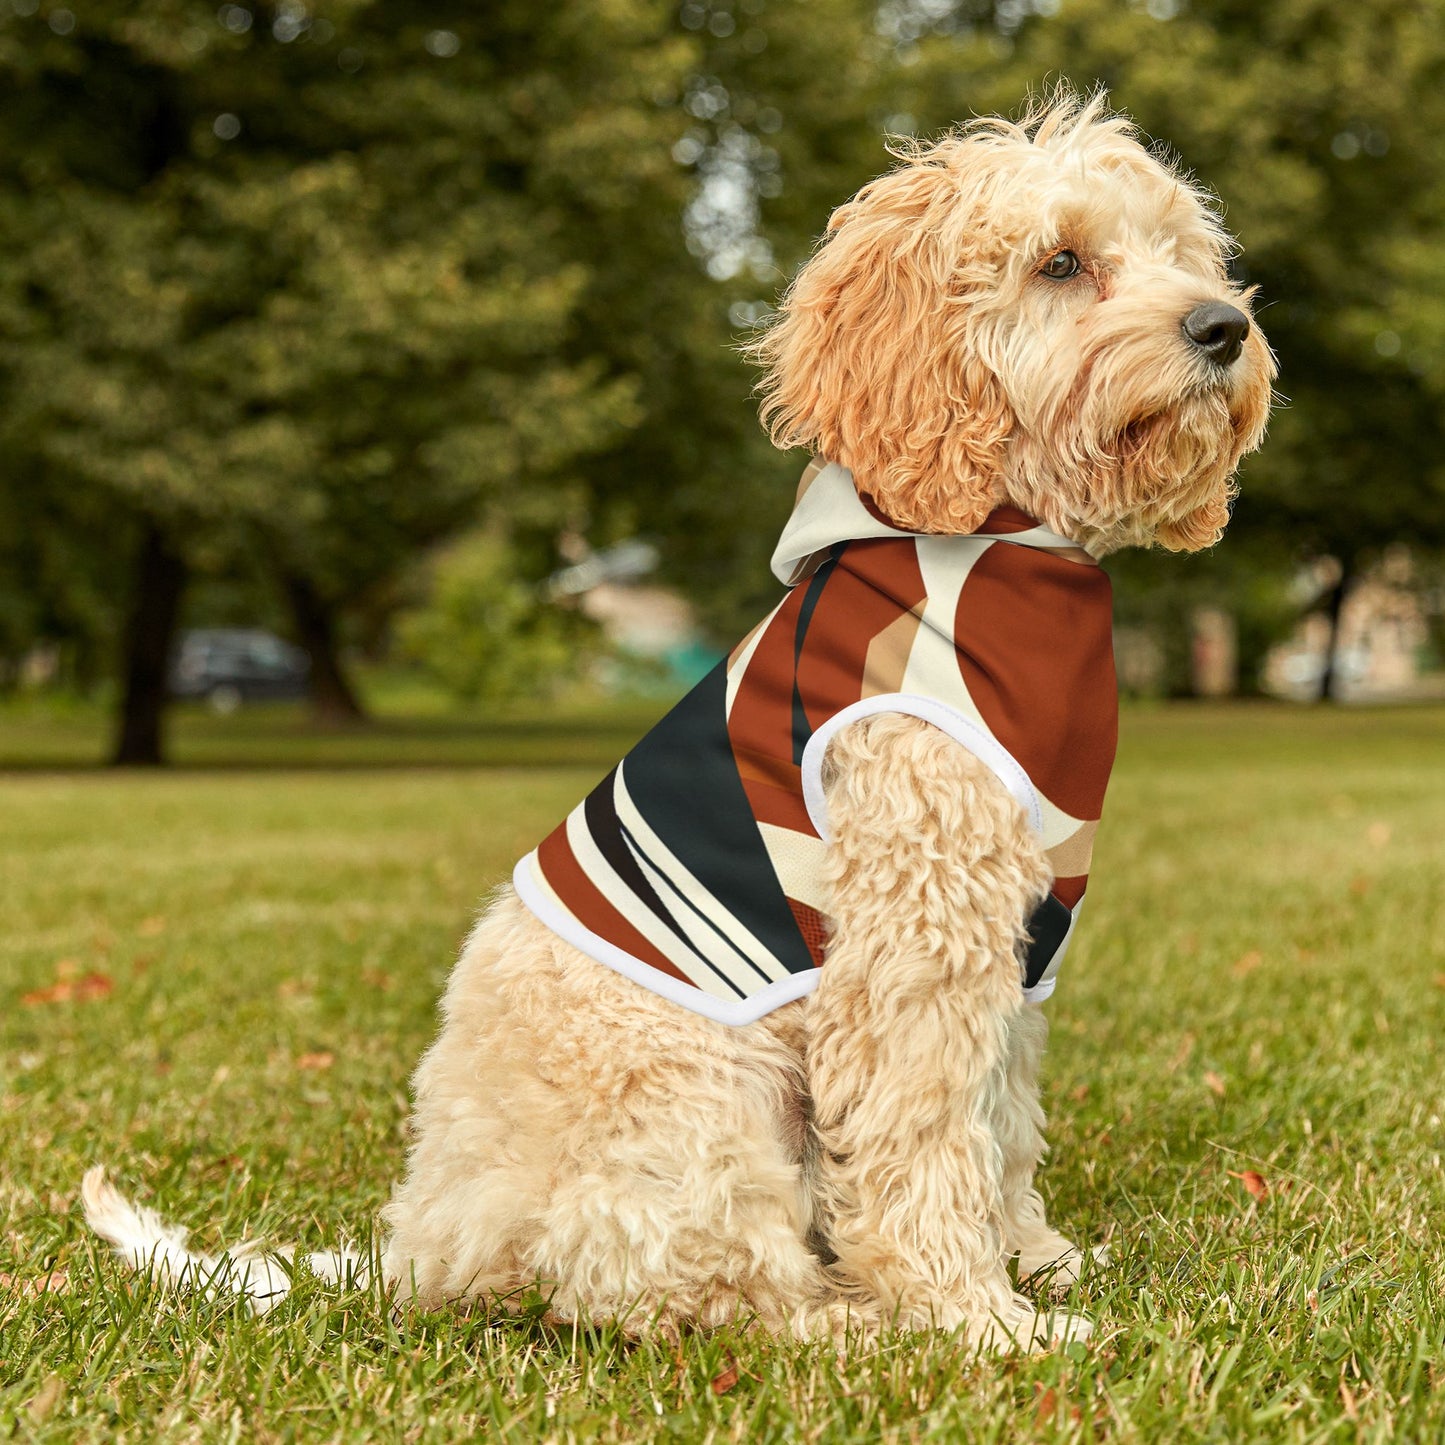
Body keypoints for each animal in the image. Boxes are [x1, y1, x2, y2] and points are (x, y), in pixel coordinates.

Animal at [84, 93, 1271, 1352]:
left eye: (1181, 253)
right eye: (1059, 262)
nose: (1222, 327)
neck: (1006, 547)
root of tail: (424, 1244)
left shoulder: (1017, 931)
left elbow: (998, 1121)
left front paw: (1033, 1259)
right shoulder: (913, 937)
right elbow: (923, 1137)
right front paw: (975, 1317)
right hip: (703, 1099)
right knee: (699, 1290)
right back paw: (852, 1322)